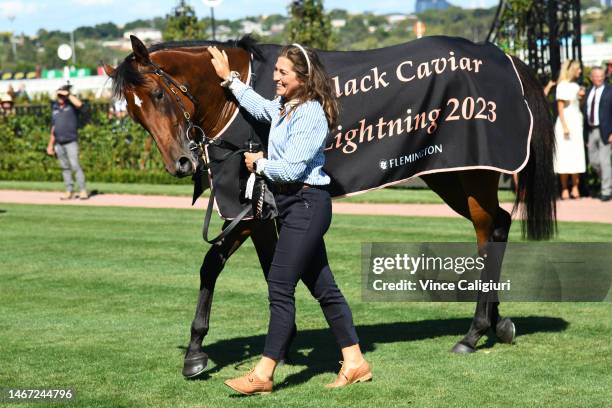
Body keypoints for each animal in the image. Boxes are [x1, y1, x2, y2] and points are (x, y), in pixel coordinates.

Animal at [104, 35, 556, 380]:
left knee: (487, 232)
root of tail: (502, 56)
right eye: (134, 114)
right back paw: (497, 323)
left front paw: (196, 351)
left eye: (158, 94)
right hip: (446, 172)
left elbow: (211, 263)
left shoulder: (250, 207)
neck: (234, 105)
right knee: (496, 226)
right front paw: (283, 340)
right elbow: (274, 267)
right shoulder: (263, 212)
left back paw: (473, 332)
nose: (180, 163)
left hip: (472, 171)